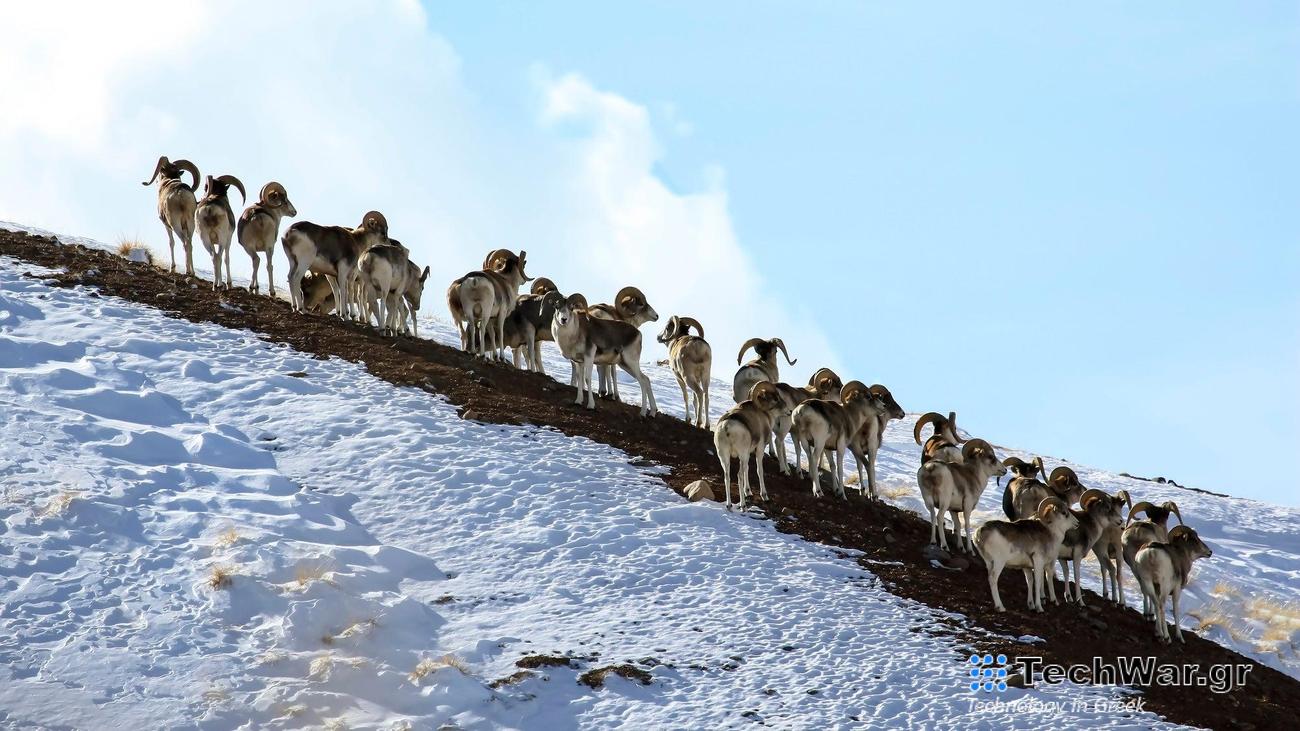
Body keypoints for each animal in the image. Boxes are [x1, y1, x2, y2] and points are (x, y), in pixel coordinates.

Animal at [713, 381, 785, 510]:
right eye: (775, 398)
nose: (789, 410)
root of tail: (727, 427)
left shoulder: (747, 454)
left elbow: (747, 469)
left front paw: (748, 492)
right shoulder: (759, 449)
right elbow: (759, 470)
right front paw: (764, 496)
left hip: (724, 456)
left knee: (727, 476)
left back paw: (729, 505)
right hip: (741, 455)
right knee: (739, 475)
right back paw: (743, 505)